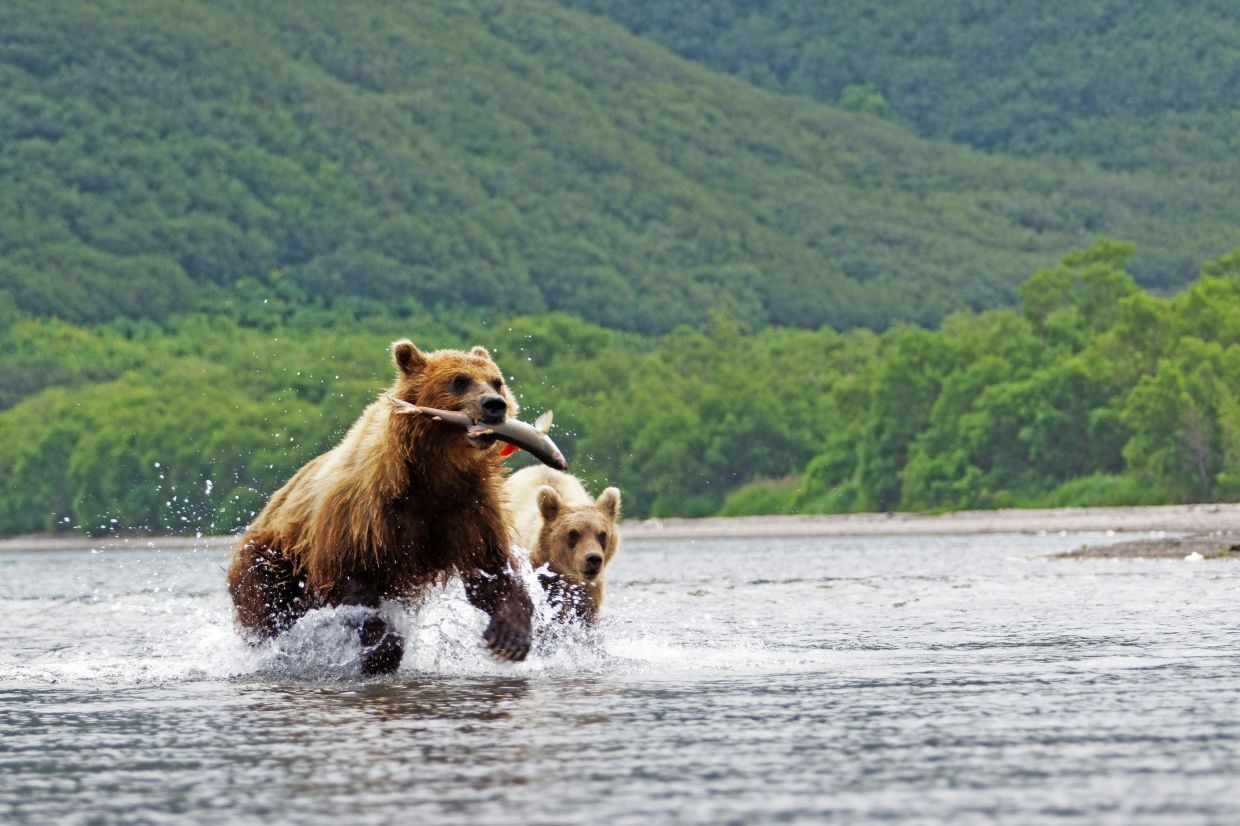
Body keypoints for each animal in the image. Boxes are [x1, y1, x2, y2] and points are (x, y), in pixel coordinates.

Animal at [226, 339, 534, 674]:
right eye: (459, 380)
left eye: (497, 381)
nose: (494, 404)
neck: (432, 472)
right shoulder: (364, 513)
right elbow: (354, 581)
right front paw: (383, 651)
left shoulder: (468, 508)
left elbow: (491, 571)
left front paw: (509, 636)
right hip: (270, 560)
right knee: (268, 613)